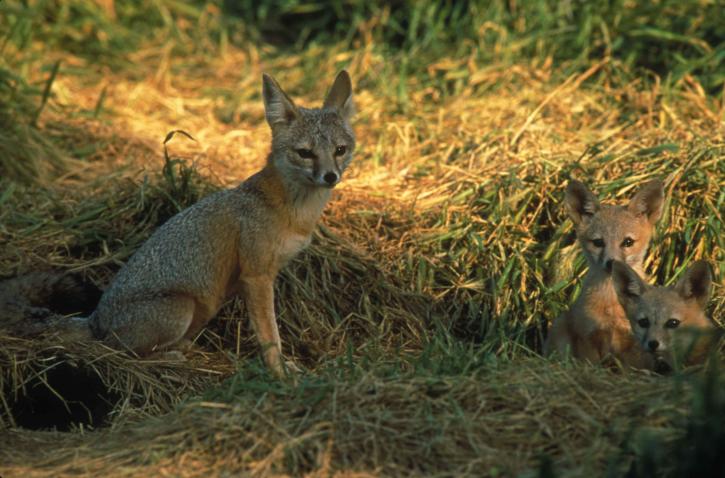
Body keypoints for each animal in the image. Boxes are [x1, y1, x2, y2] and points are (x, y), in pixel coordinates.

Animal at [7, 72, 354, 378]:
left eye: (340, 150)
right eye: (305, 153)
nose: (330, 176)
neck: (293, 211)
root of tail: (96, 320)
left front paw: (285, 368)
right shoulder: (256, 278)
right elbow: (270, 336)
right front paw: (279, 374)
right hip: (181, 308)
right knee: (121, 353)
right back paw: (170, 358)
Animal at [544, 177, 664, 368]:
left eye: (628, 242)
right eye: (598, 242)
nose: (611, 262)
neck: (612, 307)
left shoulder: (635, 345)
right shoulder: (588, 338)